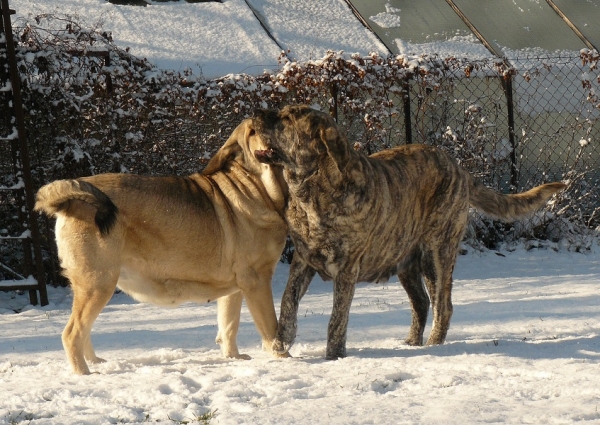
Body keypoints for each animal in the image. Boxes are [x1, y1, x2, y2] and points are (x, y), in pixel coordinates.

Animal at [253, 103, 568, 358]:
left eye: (288, 118)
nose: (256, 112)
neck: (313, 193)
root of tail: (459, 169)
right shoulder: (302, 260)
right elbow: (288, 301)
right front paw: (282, 340)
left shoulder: (346, 269)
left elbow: (337, 318)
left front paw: (334, 356)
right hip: (406, 261)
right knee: (422, 302)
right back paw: (411, 343)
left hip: (436, 254)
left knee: (443, 305)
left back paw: (433, 345)